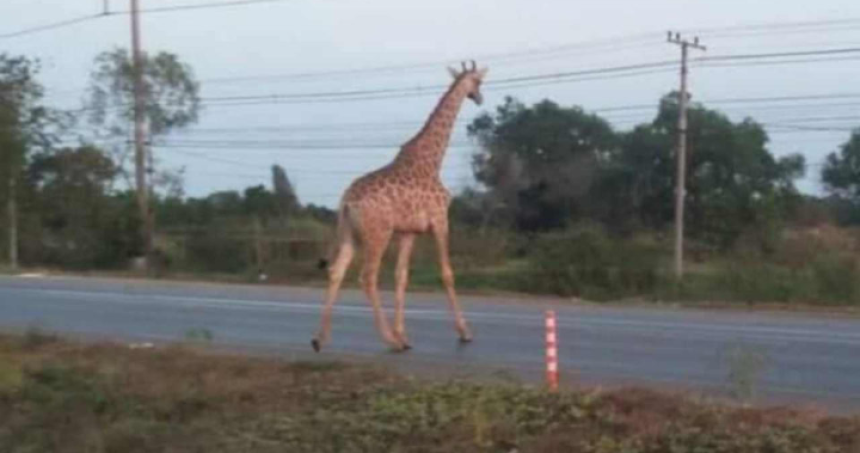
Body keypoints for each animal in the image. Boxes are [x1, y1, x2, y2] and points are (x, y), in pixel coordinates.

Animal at [310, 60, 488, 352]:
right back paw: (389, 340)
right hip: (377, 234)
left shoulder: (408, 231)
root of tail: (346, 202)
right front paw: (464, 332)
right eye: (478, 82)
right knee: (367, 277)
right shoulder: (440, 220)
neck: (432, 160)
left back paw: (319, 338)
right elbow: (447, 273)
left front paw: (403, 333)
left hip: (350, 234)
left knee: (336, 271)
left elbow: (401, 277)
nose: (479, 98)